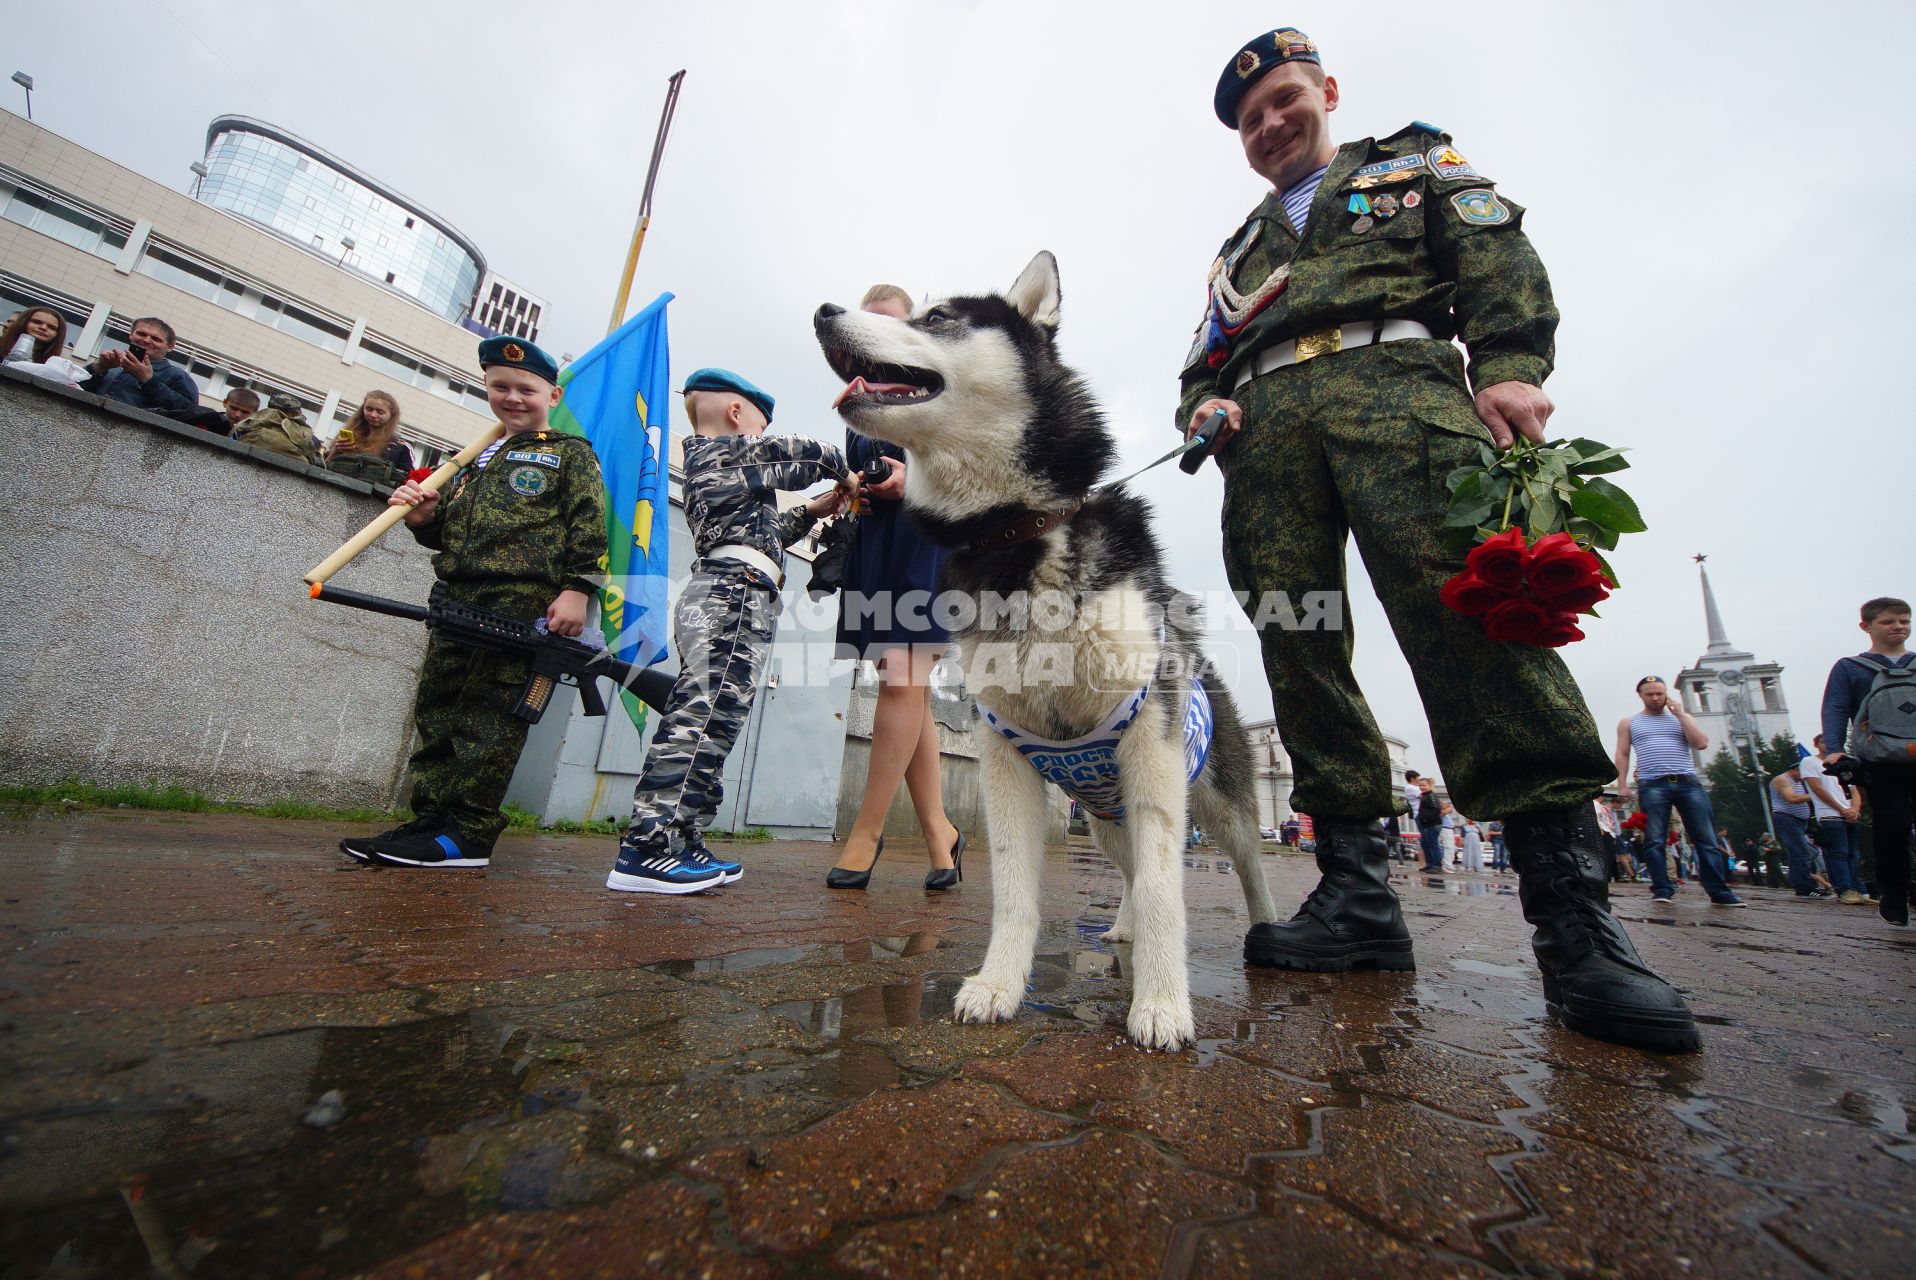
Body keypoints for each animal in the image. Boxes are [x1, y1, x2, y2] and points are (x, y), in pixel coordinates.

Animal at [808, 252, 1272, 1050]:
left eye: (937, 317)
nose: (823, 312)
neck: (1014, 535)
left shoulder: (1150, 748)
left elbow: (1166, 890)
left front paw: (1161, 1003)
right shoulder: (1006, 752)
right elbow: (1016, 891)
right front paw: (999, 984)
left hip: (1217, 804)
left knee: (1244, 872)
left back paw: (1273, 937)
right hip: (1106, 812)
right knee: (1126, 872)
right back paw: (1119, 926)